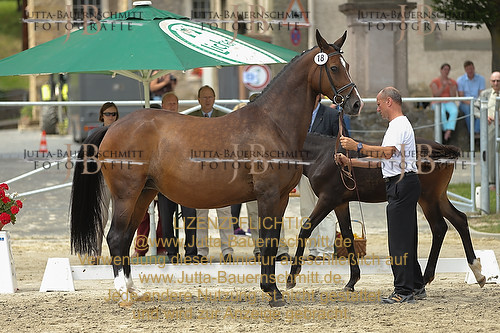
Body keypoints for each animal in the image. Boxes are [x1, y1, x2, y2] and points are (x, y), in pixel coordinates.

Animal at [70, 30, 362, 306]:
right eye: (333, 68)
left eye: (348, 64)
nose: (356, 103)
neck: (273, 124)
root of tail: (114, 126)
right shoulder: (267, 195)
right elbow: (267, 242)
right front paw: (273, 292)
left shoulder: (280, 198)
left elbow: (272, 241)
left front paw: (273, 289)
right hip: (126, 194)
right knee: (116, 237)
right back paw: (124, 293)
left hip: (144, 193)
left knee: (126, 237)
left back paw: (134, 290)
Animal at [288, 134, 486, 290]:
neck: (322, 155)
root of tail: (440, 149)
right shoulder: (340, 204)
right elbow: (347, 236)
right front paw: (352, 281)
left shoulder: (328, 200)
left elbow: (305, 229)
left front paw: (292, 277)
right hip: (439, 197)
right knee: (460, 220)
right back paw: (477, 272)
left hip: (428, 199)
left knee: (439, 227)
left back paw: (424, 279)